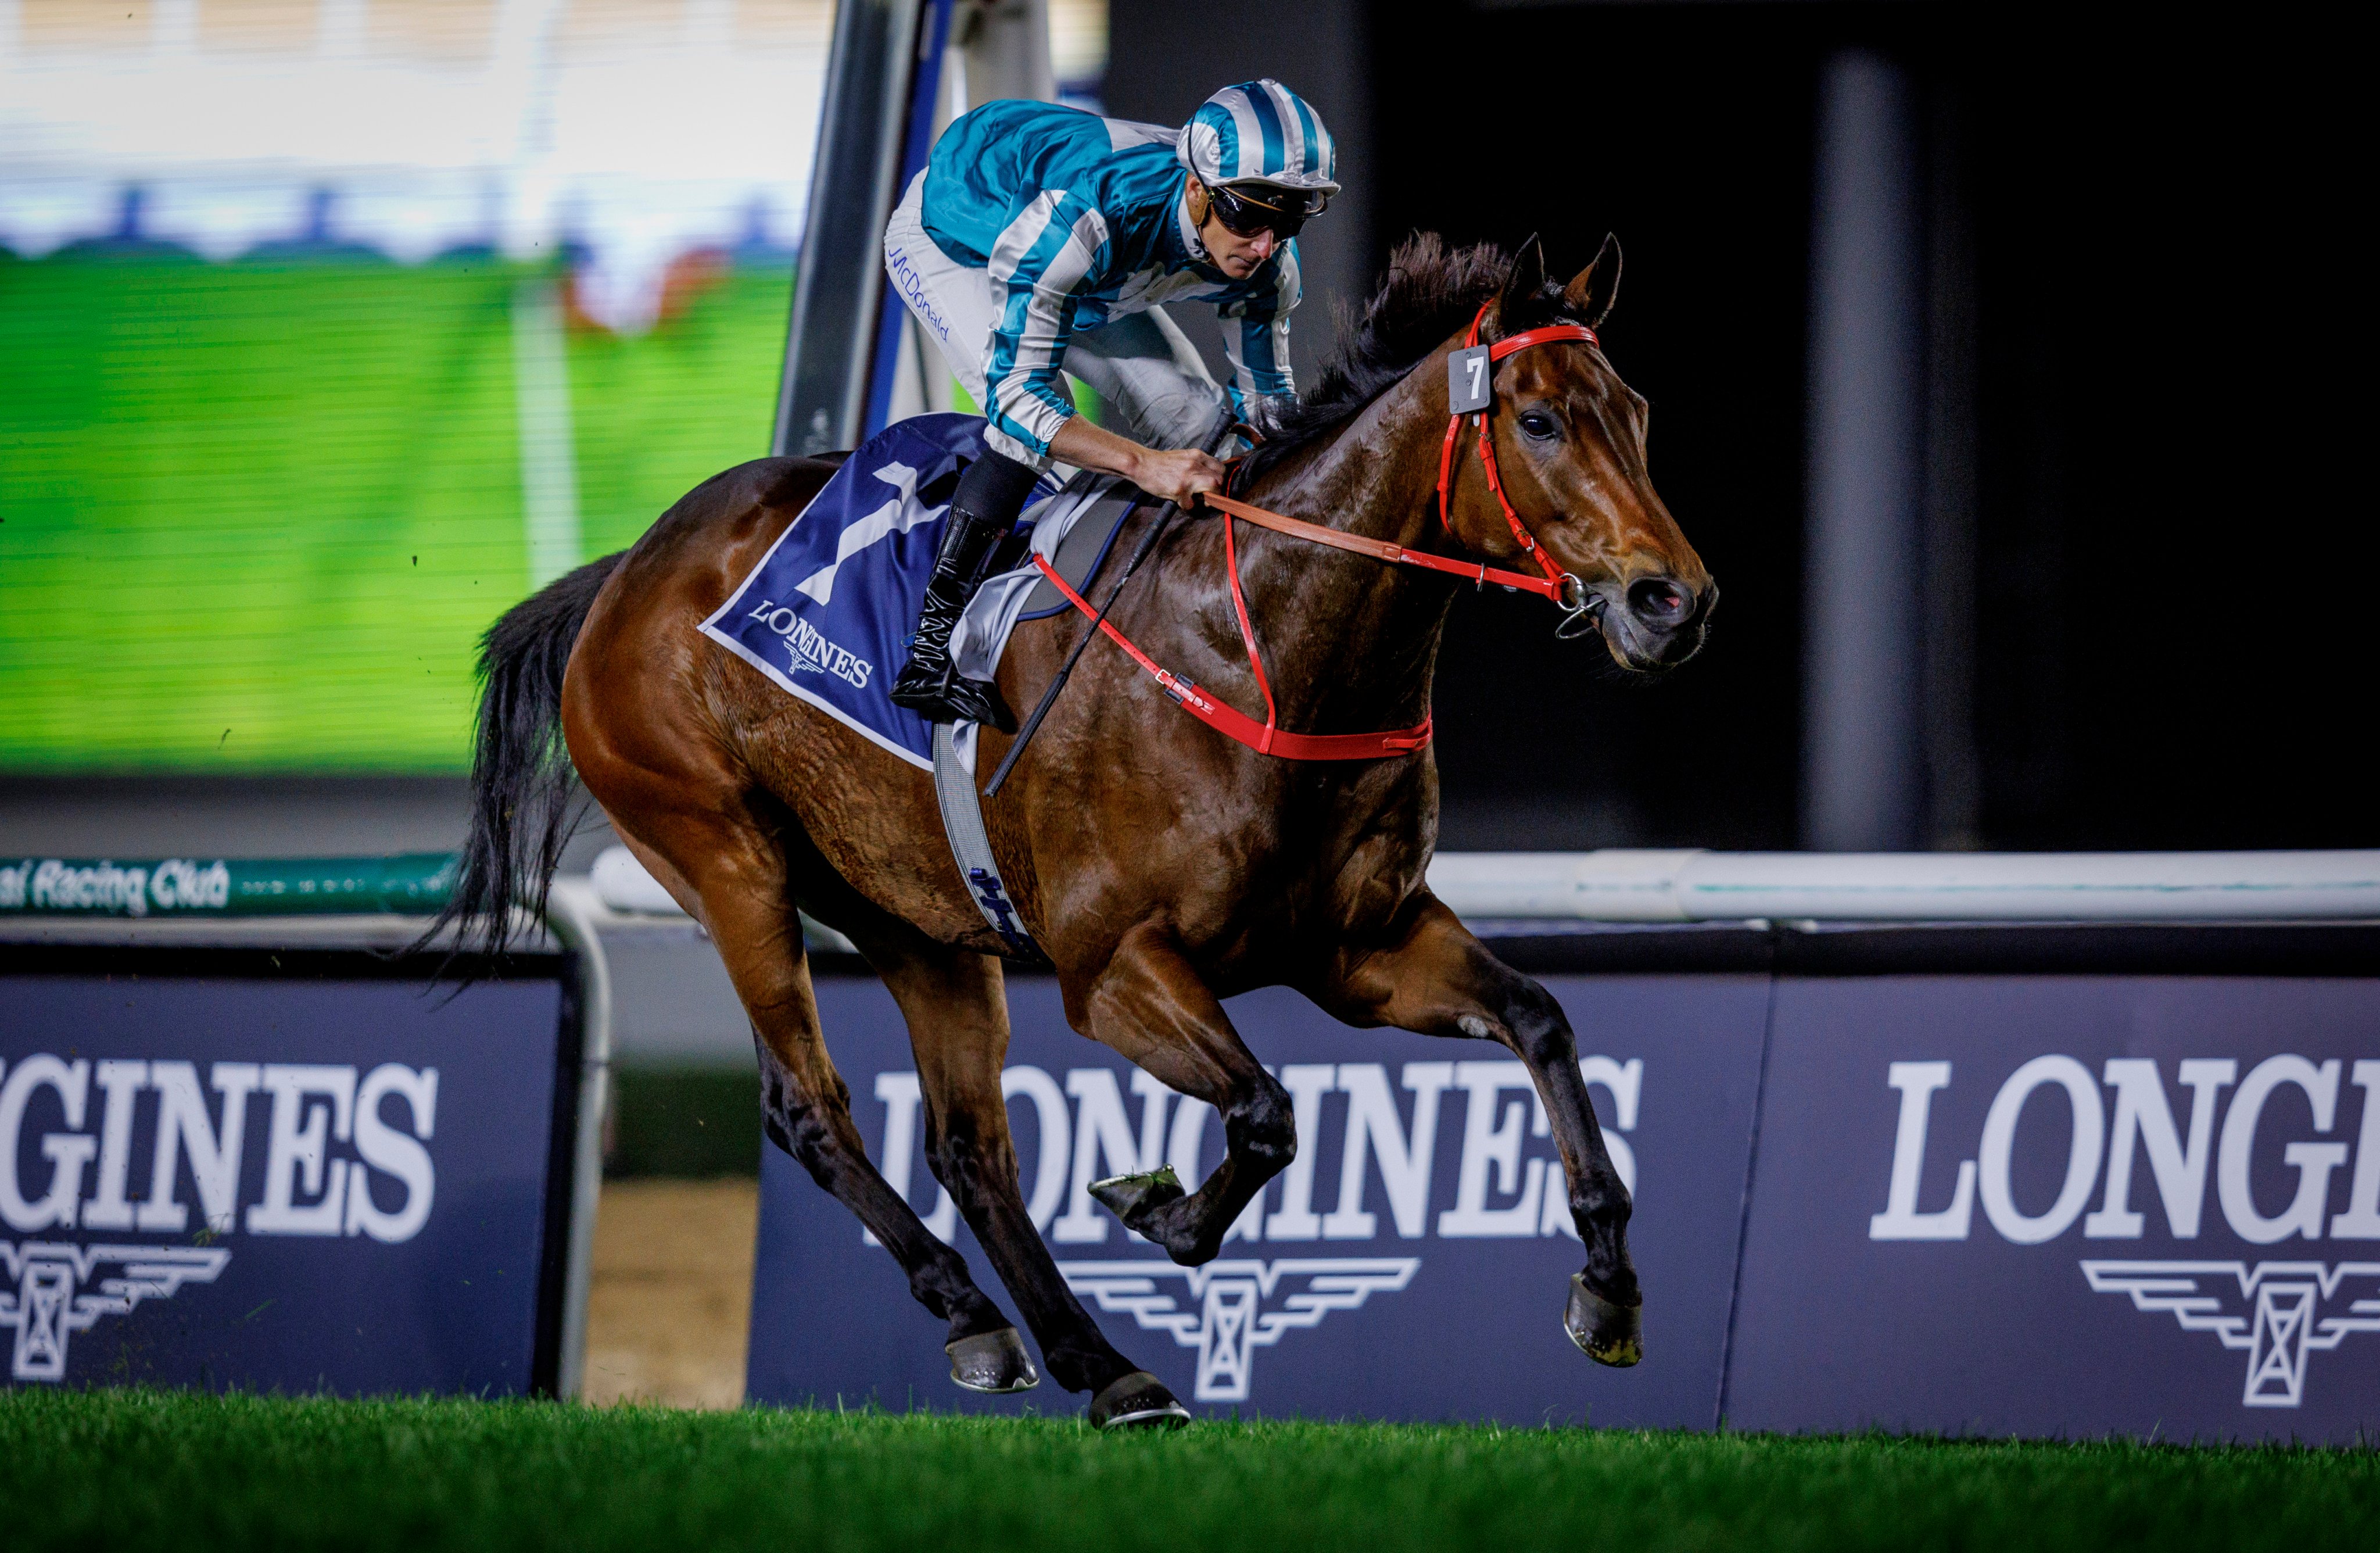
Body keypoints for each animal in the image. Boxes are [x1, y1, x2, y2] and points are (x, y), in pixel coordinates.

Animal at [433, 224, 1714, 1429]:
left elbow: (1538, 1019)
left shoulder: (1364, 949)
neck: (1266, 650)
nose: (1674, 602)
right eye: (1538, 420)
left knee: (969, 1144)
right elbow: (1265, 1113)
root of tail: (623, 573)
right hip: (723, 858)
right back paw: (975, 1311)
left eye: (1637, 413)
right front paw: (1153, 1206)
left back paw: (1093, 1361)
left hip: (916, 916)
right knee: (810, 1109)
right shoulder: (1114, 967)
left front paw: (1608, 1288)